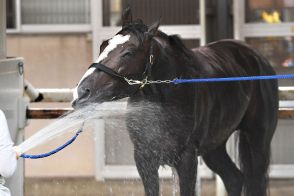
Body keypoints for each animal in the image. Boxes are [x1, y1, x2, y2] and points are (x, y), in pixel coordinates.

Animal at [72, 8, 278, 196]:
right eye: (103, 45)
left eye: (129, 53)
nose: (81, 92)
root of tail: (254, 56)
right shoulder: (144, 159)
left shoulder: (186, 159)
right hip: (215, 145)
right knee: (234, 179)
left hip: (257, 138)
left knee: (255, 181)